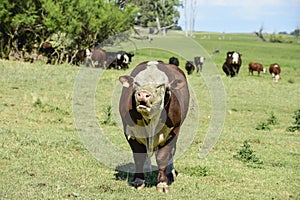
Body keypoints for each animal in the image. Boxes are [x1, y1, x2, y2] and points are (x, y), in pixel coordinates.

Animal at [118, 59, 189, 192]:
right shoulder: (130, 132)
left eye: (160, 85)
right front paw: (138, 180)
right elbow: (139, 157)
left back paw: (170, 173)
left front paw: (162, 183)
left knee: (172, 153)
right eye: (136, 83)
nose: (142, 94)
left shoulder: (173, 132)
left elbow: (163, 157)